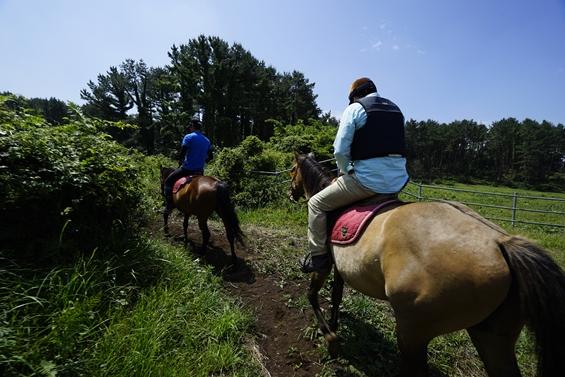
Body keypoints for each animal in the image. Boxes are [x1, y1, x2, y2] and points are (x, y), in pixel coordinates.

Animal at [288, 153, 564, 376]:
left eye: (292, 170)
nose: (291, 193)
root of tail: (500, 242)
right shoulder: (340, 268)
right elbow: (336, 295)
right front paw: (335, 325)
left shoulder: (325, 265)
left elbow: (312, 295)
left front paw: (331, 338)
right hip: (492, 337)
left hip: (413, 333)